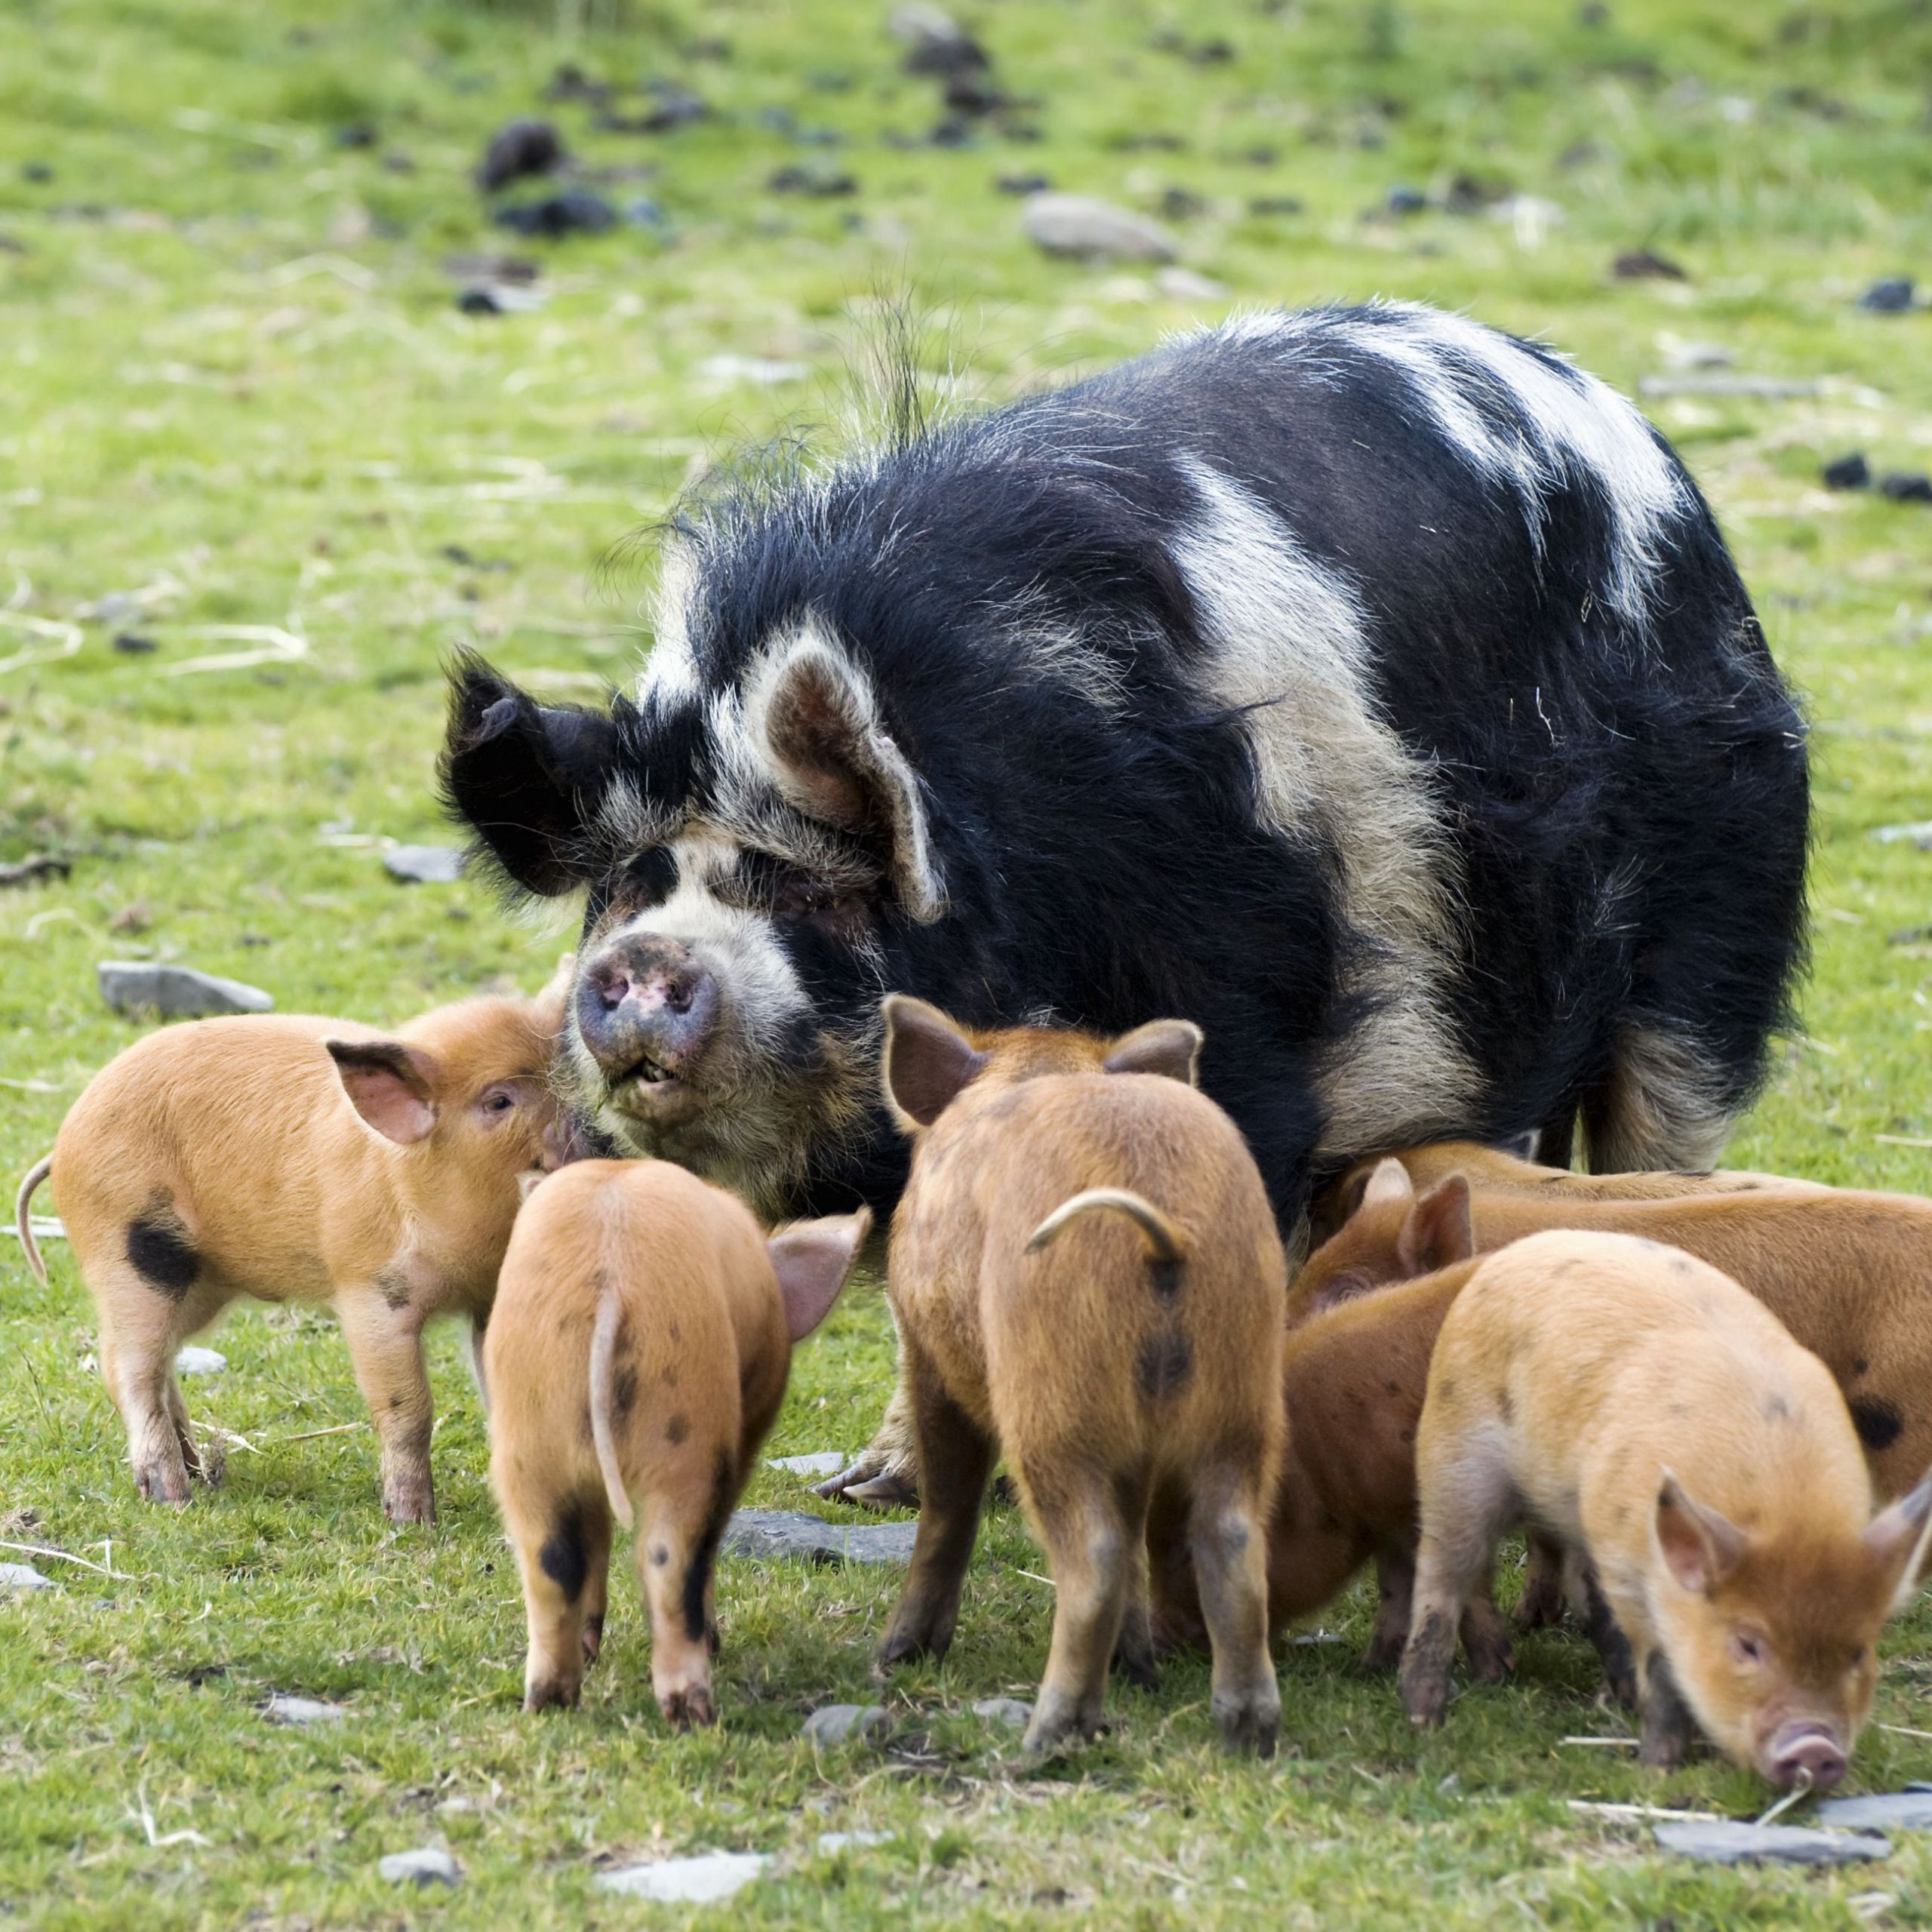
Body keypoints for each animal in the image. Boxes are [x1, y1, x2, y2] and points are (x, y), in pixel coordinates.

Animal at [444, 305, 1800, 1491]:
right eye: (623, 886)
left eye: (816, 892)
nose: (650, 963)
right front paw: (879, 1486)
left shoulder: (1244, 1038)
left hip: (1713, 936)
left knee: (1664, 1136)